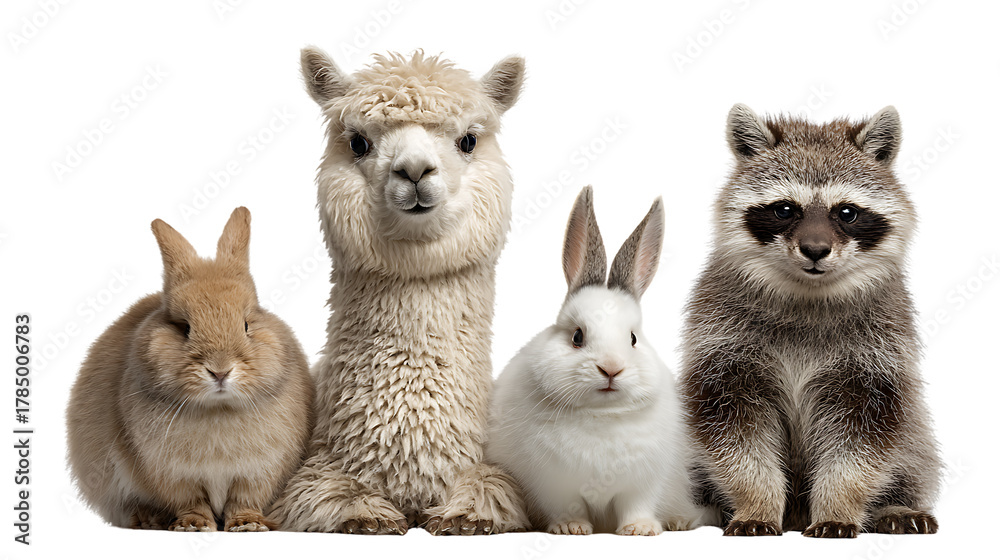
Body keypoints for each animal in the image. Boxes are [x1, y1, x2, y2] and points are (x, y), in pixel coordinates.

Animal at [66, 207, 314, 532]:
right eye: (183, 327)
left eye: (247, 324)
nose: (220, 371)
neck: (217, 409)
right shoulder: (172, 474)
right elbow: (191, 501)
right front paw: (193, 525)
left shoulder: (259, 472)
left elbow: (244, 500)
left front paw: (247, 525)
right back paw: (148, 519)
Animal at [486, 186, 710, 535]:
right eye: (577, 336)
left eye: (633, 338)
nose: (611, 368)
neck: (602, 416)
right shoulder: (553, 485)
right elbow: (567, 507)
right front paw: (571, 528)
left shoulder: (643, 482)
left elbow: (637, 505)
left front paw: (641, 529)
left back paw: (680, 521)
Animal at [679, 104, 941, 538]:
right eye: (785, 209)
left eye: (846, 213)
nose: (816, 250)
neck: (809, 291)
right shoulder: (721, 345)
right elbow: (734, 436)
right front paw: (756, 501)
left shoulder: (879, 357)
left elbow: (863, 443)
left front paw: (840, 504)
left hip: (915, 431)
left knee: (915, 449)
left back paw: (897, 504)